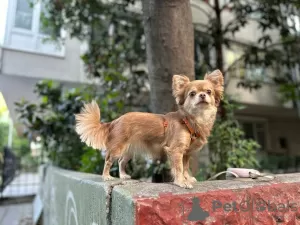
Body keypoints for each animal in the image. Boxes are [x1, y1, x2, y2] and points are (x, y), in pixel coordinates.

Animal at [75, 70, 223, 188]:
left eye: (209, 92)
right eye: (192, 94)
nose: (202, 95)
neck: (191, 120)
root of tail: (115, 121)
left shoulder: (186, 153)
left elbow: (185, 167)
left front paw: (187, 178)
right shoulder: (176, 150)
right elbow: (179, 168)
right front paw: (181, 182)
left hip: (129, 151)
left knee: (121, 161)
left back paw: (123, 176)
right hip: (117, 148)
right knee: (108, 160)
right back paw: (106, 176)